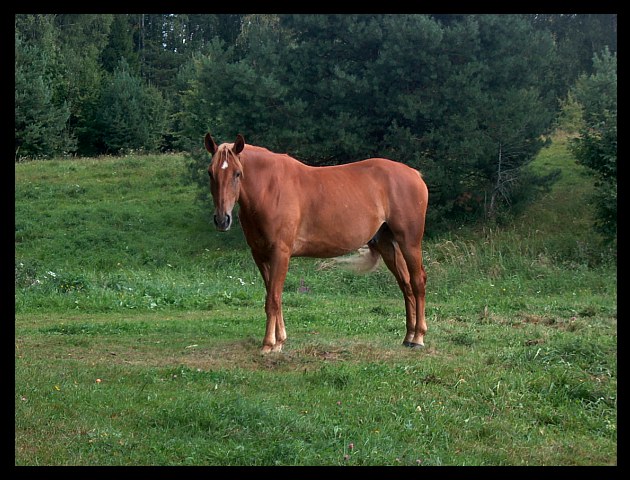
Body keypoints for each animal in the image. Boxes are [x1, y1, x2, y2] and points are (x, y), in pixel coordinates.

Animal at [206, 133, 430, 354]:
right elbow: (273, 296)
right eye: (210, 173)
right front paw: (280, 340)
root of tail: (415, 174)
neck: (270, 188)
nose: (222, 220)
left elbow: (273, 299)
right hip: (387, 244)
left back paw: (418, 337)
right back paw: (408, 336)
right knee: (405, 284)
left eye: (237, 173)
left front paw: (269, 344)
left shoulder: (280, 254)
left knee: (417, 281)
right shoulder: (260, 255)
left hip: (409, 242)